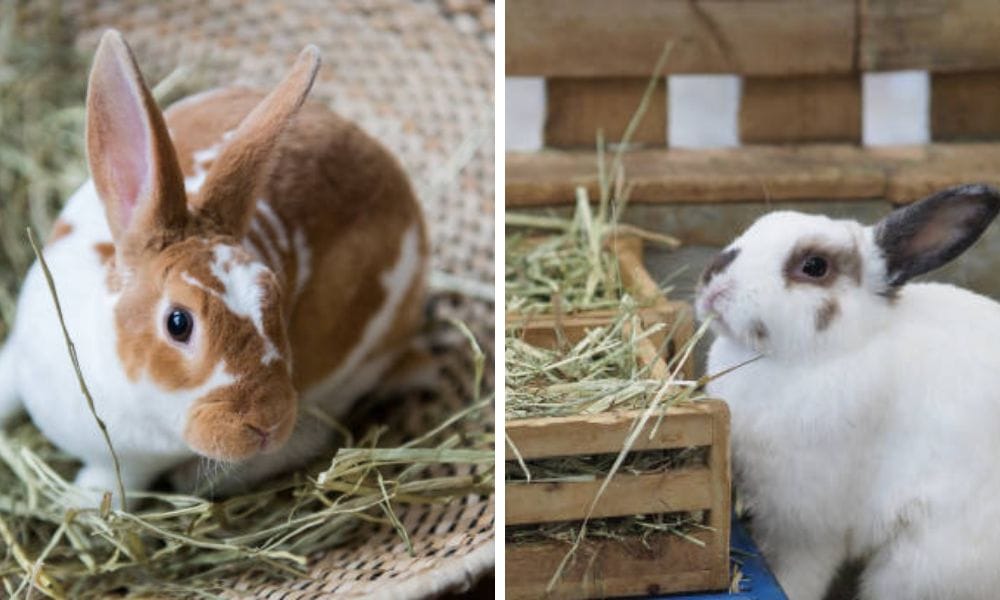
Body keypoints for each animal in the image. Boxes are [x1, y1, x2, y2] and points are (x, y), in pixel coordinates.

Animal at [0, 30, 428, 504]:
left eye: (277, 301)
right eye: (178, 322)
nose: (266, 422)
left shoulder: (127, 466)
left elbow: (107, 486)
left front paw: (80, 505)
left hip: (348, 372)